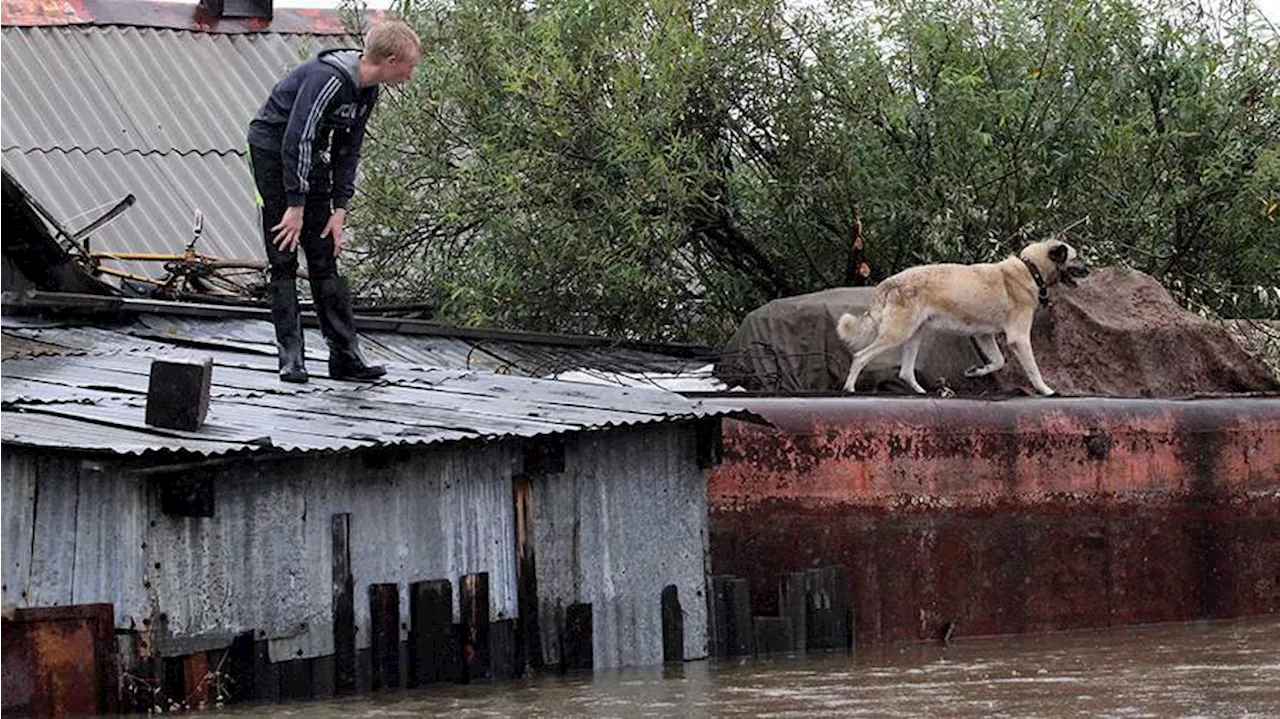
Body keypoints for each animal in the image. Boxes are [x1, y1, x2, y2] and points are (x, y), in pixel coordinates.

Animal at [839, 243, 1090, 394]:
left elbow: (998, 362)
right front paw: (1047, 391)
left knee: (905, 372)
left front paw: (976, 371)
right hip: (897, 333)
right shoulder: (1018, 339)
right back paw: (849, 388)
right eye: (1077, 258)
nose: (1090, 269)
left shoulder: (984, 336)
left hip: (914, 336)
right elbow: (1033, 370)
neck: (1031, 269)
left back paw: (923, 392)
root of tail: (890, 281)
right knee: (861, 356)